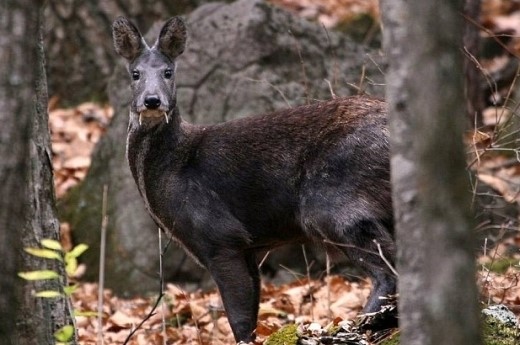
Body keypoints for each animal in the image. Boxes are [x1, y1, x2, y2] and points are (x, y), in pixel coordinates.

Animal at [112, 15, 394, 342]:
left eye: (168, 72)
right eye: (135, 74)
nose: (152, 101)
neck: (175, 166)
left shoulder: (220, 235)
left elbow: (239, 318)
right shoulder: (245, 246)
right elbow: (250, 313)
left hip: (332, 200)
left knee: (388, 269)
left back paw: (358, 325)